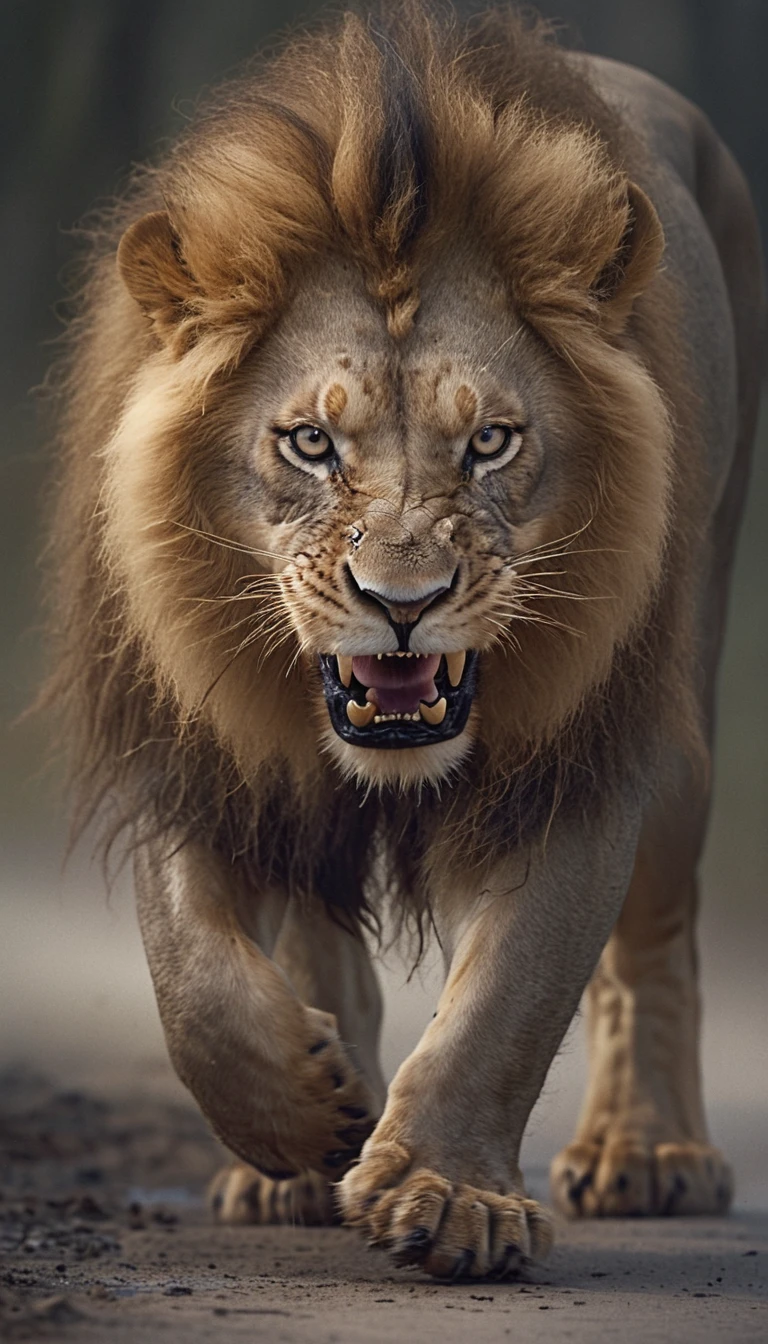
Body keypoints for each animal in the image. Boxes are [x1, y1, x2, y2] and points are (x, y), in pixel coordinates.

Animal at [44, 3, 763, 1279]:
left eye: (489, 443)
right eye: (308, 445)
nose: (403, 600)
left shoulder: (579, 749)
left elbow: (513, 996)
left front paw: (448, 1194)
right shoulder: (195, 733)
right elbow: (189, 977)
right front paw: (302, 1113)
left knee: (656, 942)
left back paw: (648, 1154)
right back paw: (307, 1148)